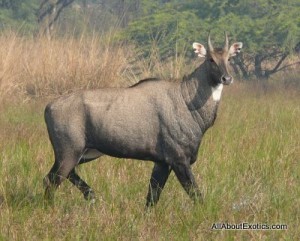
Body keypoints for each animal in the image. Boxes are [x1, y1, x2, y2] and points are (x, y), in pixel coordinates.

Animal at [44, 33, 241, 206]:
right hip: (69, 152)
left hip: (86, 153)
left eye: (229, 59)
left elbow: (152, 198)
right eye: (211, 59)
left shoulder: (162, 162)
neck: (186, 99)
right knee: (51, 180)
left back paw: (91, 196)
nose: (227, 78)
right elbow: (196, 195)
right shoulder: (179, 160)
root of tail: (48, 107)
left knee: (59, 175)